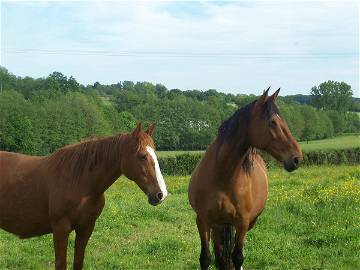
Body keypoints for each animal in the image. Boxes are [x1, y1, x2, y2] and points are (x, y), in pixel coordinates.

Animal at [0, 123, 168, 268]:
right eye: (142, 156)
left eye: (155, 153)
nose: (161, 194)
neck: (79, 181)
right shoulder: (60, 228)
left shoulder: (86, 227)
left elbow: (78, 262)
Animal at [190, 87, 302, 268]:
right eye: (273, 122)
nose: (297, 158)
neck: (222, 176)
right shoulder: (203, 220)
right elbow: (206, 258)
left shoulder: (242, 223)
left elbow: (238, 257)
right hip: (217, 225)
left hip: (248, 223)